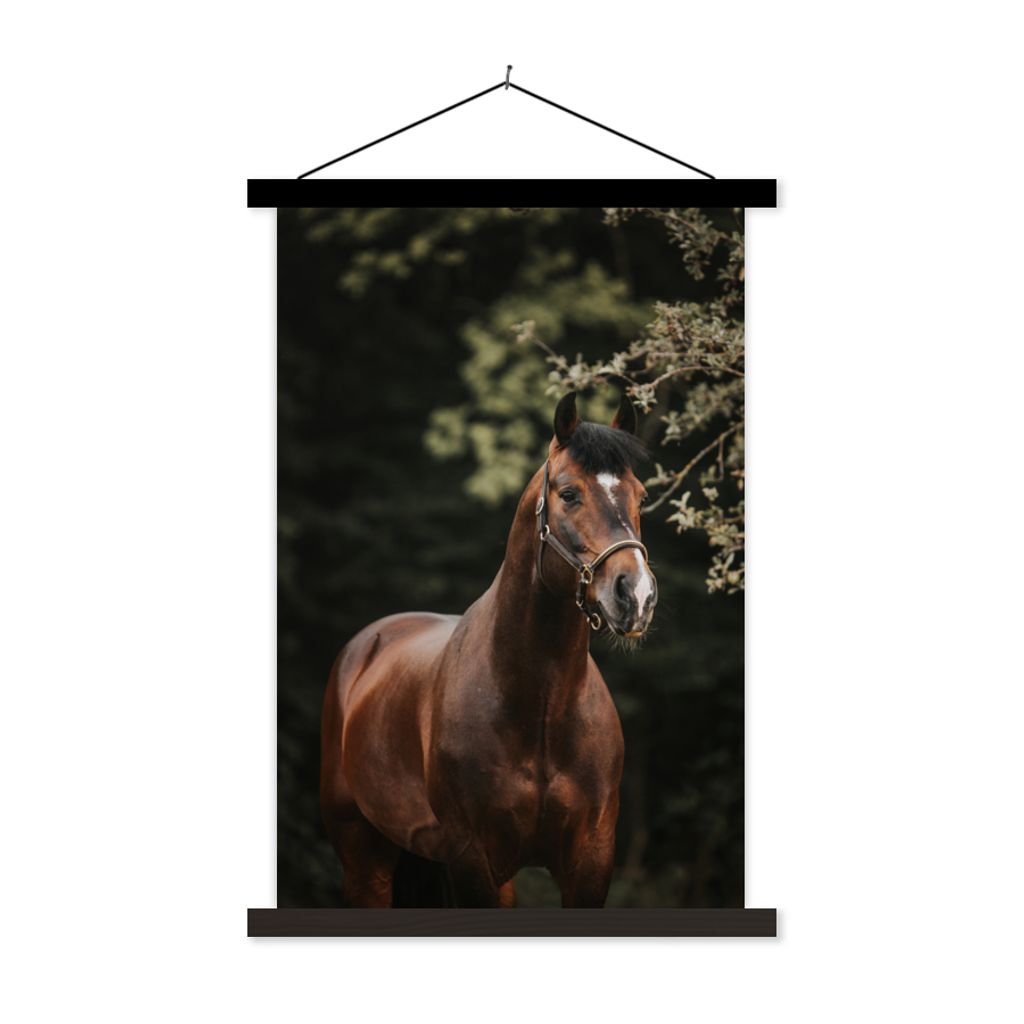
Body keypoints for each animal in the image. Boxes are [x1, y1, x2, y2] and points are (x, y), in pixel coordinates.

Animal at [319, 392, 658, 907]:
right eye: (568, 493)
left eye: (640, 496)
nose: (636, 595)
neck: (539, 708)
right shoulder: (474, 860)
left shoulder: (591, 863)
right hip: (363, 855)